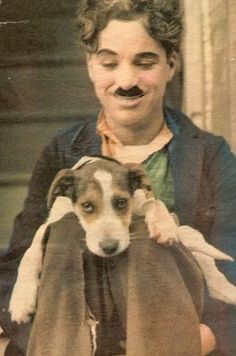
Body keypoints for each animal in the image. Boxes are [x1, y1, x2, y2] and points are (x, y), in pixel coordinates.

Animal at [8, 156, 236, 322]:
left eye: (121, 202)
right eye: (87, 206)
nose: (109, 248)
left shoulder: (144, 200)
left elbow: (156, 204)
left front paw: (163, 225)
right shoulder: (48, 225)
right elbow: (29, 254)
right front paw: (21, 300)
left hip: (191, 236)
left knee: (208, 264)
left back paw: (227, 290)